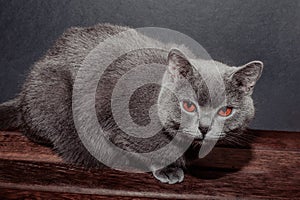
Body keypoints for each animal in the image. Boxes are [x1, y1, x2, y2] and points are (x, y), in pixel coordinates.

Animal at [0, 22, 262, 184]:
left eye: (226, 111)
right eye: (188, 106)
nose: (205, 128)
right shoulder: (112, 121)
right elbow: (144, 148)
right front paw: (168, 168)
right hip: (54, 93)